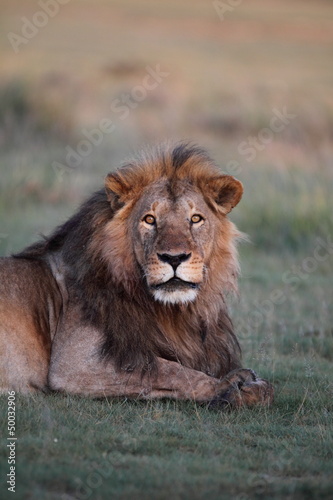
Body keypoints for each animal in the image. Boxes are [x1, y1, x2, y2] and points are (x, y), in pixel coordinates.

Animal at [0, 144, 272, 406]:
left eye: (196, 219)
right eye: (149, 219)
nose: (174, 258)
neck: (175, 313)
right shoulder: (74, 362)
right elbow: (168, 370)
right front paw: (230, 388)